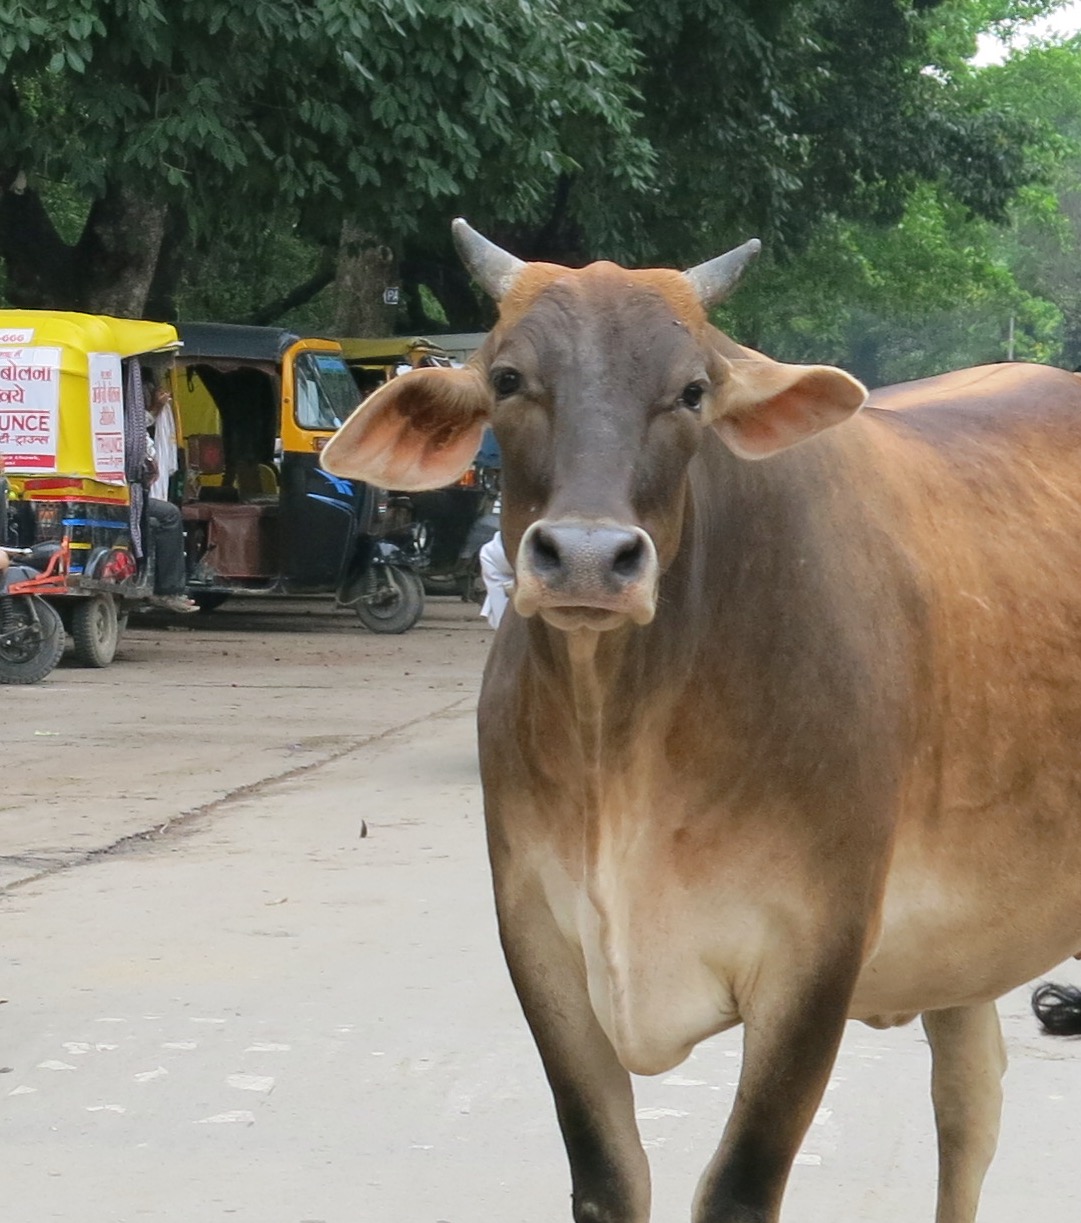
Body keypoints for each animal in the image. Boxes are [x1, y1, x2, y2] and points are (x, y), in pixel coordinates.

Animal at [321, 219, 1081, 1223]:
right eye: (508, 378)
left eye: (691, 390)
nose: (589, 558)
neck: (617, 738)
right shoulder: (539, 940)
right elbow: (608, 1177)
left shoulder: (814, 951)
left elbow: (736, 1187)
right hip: (963, 949)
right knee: (968, 1105)